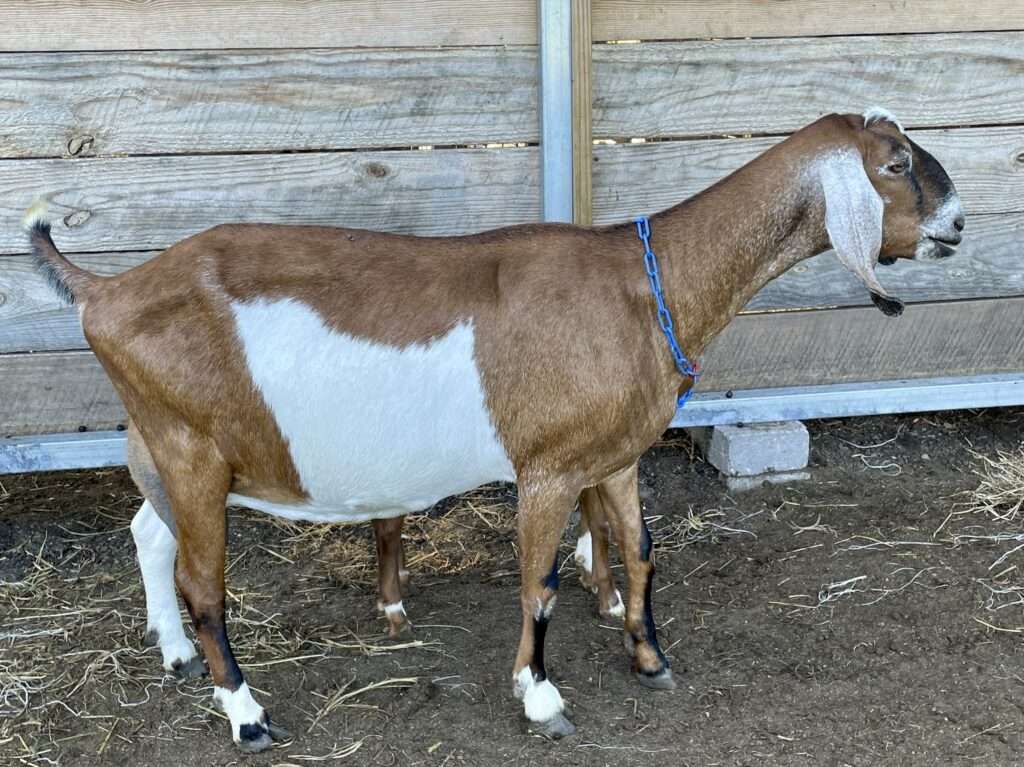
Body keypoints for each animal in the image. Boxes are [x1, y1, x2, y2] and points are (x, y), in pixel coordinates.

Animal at [28, 107, 962, 749]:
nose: (957, 223)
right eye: (896, 162)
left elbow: (641, 551)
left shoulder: (614, 455)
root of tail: (105, 292)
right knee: (203, 584)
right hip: (189, 446)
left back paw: (174, 653)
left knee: (149, 533)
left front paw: (650, 658)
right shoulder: (547, 466)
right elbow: (538, 583)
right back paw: (245, 711)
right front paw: (541, 695)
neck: (643, 284)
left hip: (165, 444)